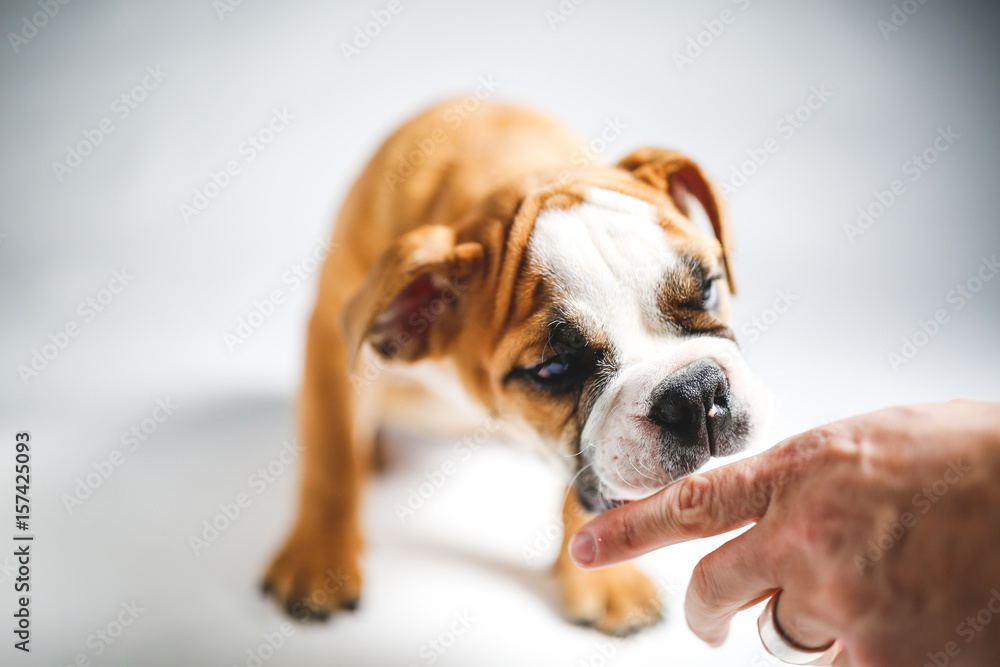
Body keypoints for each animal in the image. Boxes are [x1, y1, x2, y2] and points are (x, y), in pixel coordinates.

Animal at [264, 99, 764, 636]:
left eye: (708, 288)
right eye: (555, 368)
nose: (694, 392)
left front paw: (603, 577)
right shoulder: (332, 344)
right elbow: (331, 457)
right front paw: (319, 564)